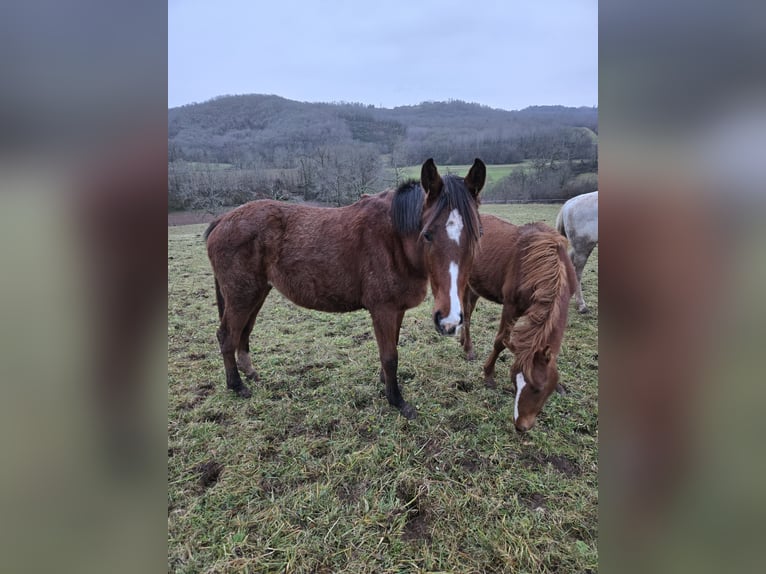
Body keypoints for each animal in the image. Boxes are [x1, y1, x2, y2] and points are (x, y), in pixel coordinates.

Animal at [204, 158, 486, 419]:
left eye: (476, 236)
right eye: (427, 234)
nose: (449, 321)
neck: (394, 238)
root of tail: (223, 219)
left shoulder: (397, 309)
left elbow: (391, 348)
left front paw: (385, 384)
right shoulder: (383, 309)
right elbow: (390, 355)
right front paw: (397, 401)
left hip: (257, 293)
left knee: (244, 331)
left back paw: (249, 373)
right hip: (241, 296)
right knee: (227, 335)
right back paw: (236, 385)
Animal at [459, 215, 577, 432]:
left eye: (538, 389)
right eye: (514, 379)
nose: (521, 425)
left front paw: (559, 386)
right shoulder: (511, 306)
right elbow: (500, 341)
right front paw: (488, 375)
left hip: (476, 285)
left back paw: (464, 341)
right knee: (467, 314)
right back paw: (468, 348)